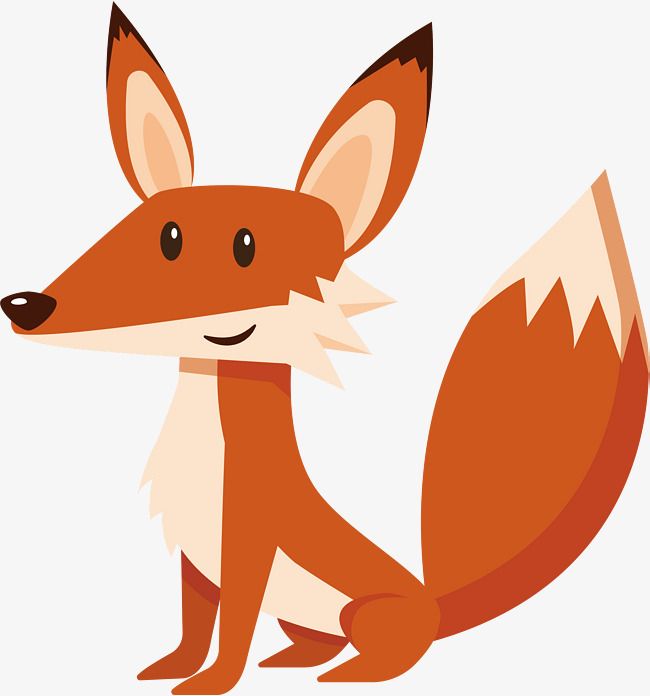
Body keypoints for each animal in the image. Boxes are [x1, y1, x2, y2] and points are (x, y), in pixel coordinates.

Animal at [2, 4, 648, 695]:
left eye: (243, 247)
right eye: (151, 232)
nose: (26, 305)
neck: (205, 445)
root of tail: (432, 602)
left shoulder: (247, 544)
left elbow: (231, 630)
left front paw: (212, 683)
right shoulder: (196, 560)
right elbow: (193, 626)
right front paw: (171, 669)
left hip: (364, 612)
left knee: (389, 653)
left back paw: (350, 672)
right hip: (304, 615)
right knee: (311, 639)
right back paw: (294, 659)